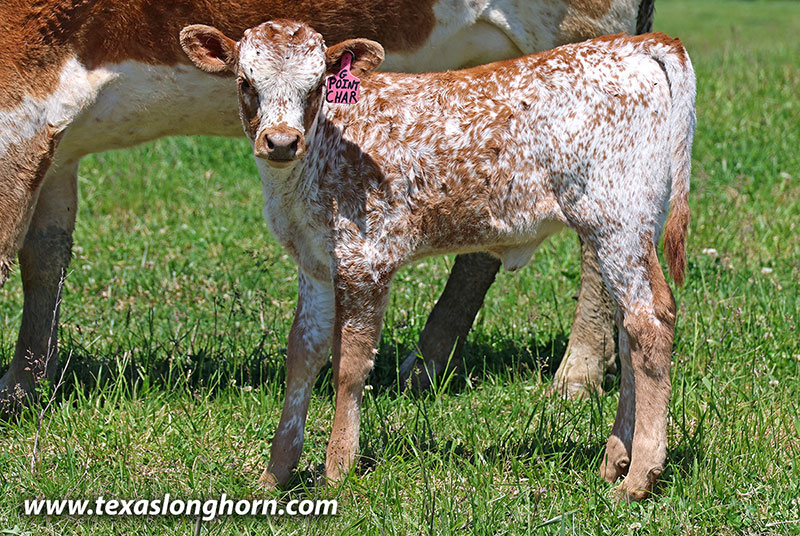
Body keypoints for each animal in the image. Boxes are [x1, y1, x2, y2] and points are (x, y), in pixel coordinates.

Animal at [0, 0, 654, 409]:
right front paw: (24, 387)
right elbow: (44, 257)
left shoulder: (22, 95)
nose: (280, 141)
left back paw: (576, 374)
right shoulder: (55, 136)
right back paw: (425, 366)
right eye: (244, 82)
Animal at [180, 19, 695, 500]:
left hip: (615, 217)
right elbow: (303, 356)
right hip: (633, 225)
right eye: (246, 83)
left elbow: (349, 365)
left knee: (650, 322)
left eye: (317, 86)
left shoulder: (365, 261)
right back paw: (615, 460)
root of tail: (634, 45)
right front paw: (275, 474)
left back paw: (639, 476)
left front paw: (337, 470)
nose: (282, 141)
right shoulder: (314, 263)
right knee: (628, 334)